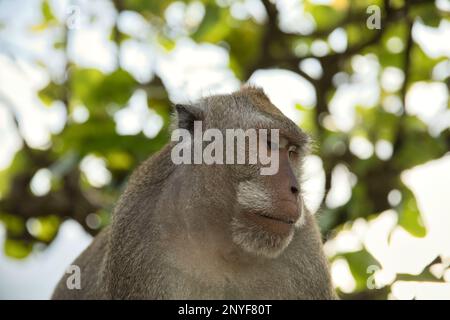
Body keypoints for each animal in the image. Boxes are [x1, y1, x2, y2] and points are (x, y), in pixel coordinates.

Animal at [51, 85, 334, 300]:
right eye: (269, 144)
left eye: (292, 152)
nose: (295, 189)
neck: (223, 243)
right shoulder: (135, 232)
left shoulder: (306, 249)